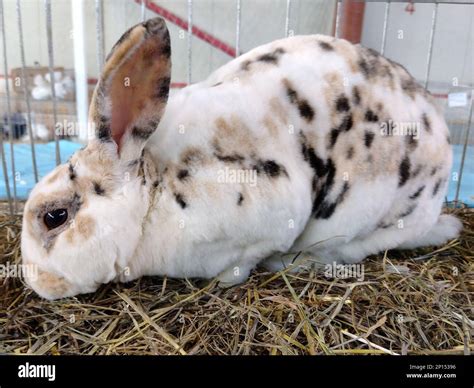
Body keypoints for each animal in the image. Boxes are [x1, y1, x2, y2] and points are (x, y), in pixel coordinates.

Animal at [20, 17, 462, 300]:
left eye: (54, 217)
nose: (35, 281)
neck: (154, 189)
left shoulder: (267, 220)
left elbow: (240, 265)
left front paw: (226, 280)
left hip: (360, 225)